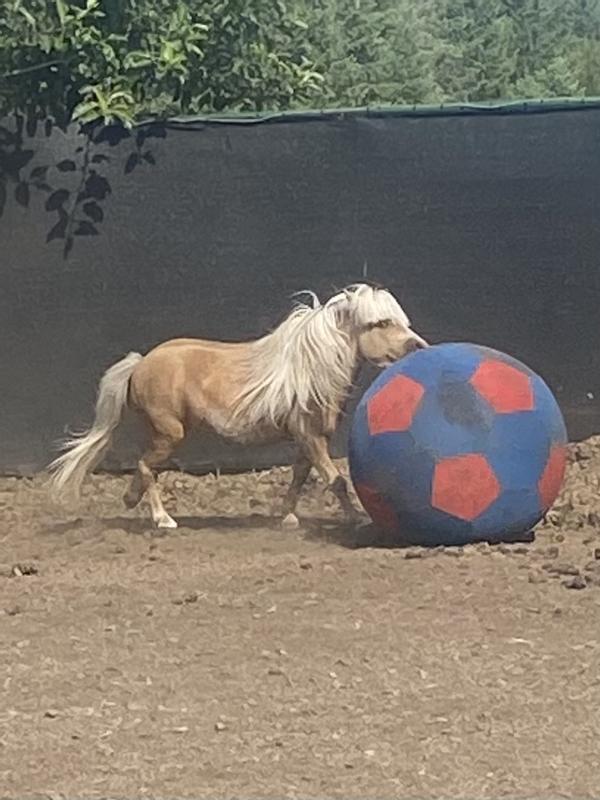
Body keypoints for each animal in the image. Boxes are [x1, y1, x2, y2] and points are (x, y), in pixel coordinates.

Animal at [48, 283, 427, 529]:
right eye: (379, 323)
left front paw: (288, 517)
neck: (309, 368)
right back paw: (163, 519)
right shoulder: (310, 436)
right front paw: (356, 518)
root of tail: (140, 364)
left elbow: (299, 476)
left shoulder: (306, 440)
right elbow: (335, 481)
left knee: (146, 470)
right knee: (144, 466)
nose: (419, 347)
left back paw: (132, 501)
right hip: (170, 433)